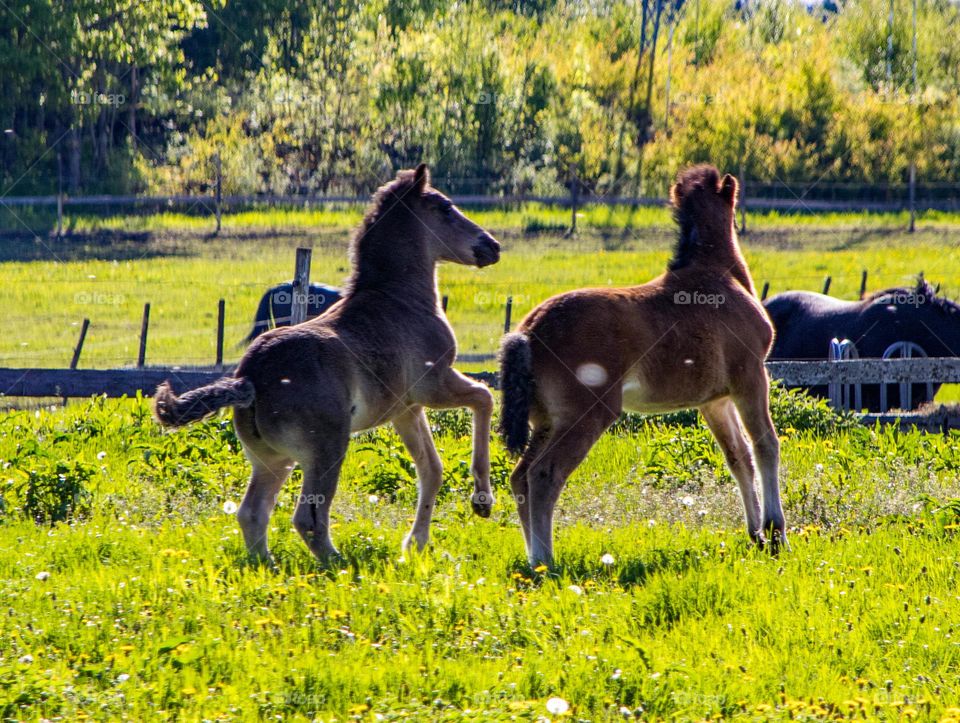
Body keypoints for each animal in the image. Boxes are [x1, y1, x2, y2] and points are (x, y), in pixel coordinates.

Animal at [156, 165, 502, 564]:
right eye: (445, 207)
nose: (491, 246)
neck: (400, 300)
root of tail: (249, 379)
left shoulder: (406, 409)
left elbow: (432, 470)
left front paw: (415, 544)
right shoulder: (434, 385)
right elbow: (484, 398)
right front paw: (482, 501)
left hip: (273, 459)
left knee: (252, 512)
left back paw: (268, 566)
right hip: (327, 448)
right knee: (307, 517)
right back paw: (339, 564)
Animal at [498, 167, 784, 568]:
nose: (764, 535)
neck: (718, 275)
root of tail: (527, 332)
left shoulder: (714, 400)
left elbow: (737, 457)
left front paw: (756, 534)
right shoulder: (750, 377)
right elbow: (765, 445)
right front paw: (775, 533)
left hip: (546, 420)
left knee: (520, 476)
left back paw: (533, 560)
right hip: (587, 415)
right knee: (543, 474)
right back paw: (545, 561)